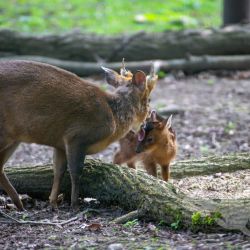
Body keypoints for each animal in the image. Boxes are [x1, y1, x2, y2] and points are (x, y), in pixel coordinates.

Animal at [0, 59, 156, 209]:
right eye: (148, 99)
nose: (149, 117)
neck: (113, 116)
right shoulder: (77, 136)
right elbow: (75, 172)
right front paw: (74, 205)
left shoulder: (60, 143)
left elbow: (59, 171)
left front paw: (53, 203)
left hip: (15, 138)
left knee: (0, 167)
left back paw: (19, 205)